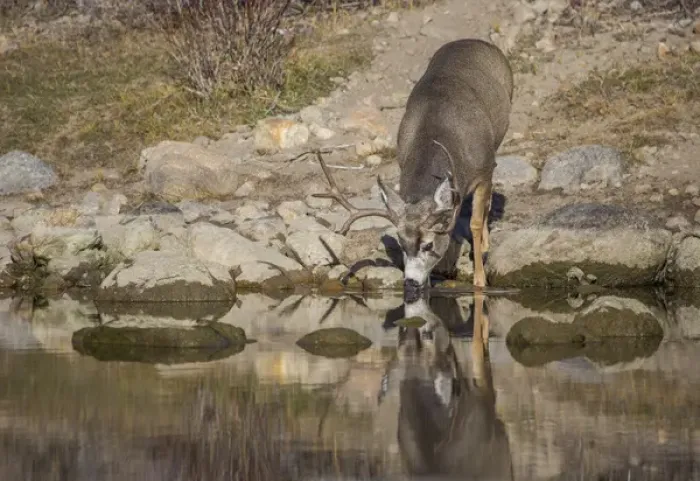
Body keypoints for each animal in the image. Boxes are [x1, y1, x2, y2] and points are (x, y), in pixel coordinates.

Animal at [312, 38, 514, 297]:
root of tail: (473, 41)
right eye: (401, 243)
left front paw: (480, 280)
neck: (437, 132)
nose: (410, 282)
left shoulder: (484, 169)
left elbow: (475, 223)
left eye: (428, 244)